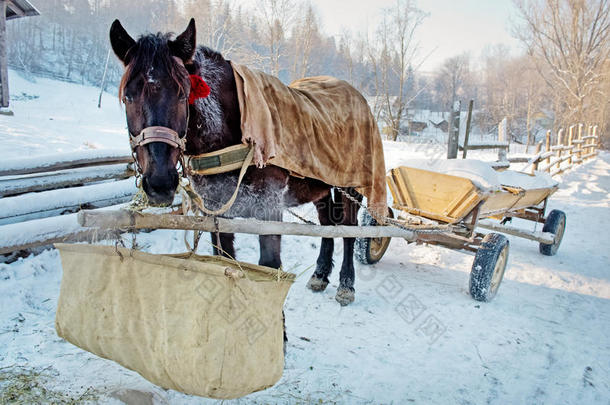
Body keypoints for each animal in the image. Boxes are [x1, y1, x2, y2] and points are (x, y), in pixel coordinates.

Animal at [110, 18, 360, 304]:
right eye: (128, 97)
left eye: (182, 95)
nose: (160, 183)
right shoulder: (217, 211)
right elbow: (223, 259)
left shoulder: (269, 208)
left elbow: (270, 266)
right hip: (319, 185)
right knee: (328, 225)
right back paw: (320, 274)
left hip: (353, 185)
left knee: (350, 230)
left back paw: (347, 284)